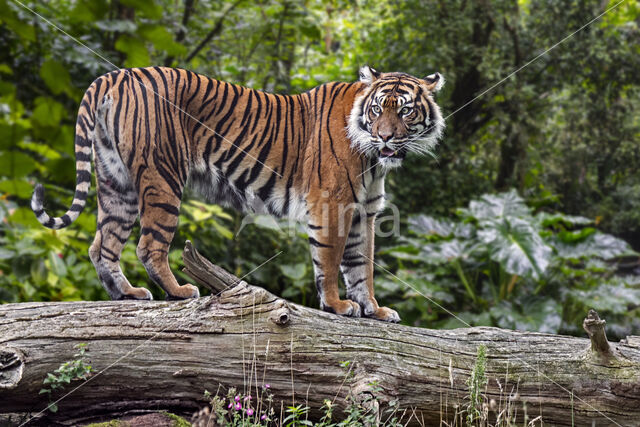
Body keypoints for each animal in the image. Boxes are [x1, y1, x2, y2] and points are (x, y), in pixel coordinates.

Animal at [31, 65, 444, 322]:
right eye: (377, 110)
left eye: (405, 111)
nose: (385, 137)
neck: (374, 159)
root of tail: (117, 74)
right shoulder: (333, 205)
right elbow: (330, 263)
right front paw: (337, 305)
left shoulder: (364, 212)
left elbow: (362, 267)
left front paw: (374, 309)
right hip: (163, 177)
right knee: (148, 246)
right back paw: (180, 291)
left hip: (117, 182)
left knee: (101, 244)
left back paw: (127, 294)